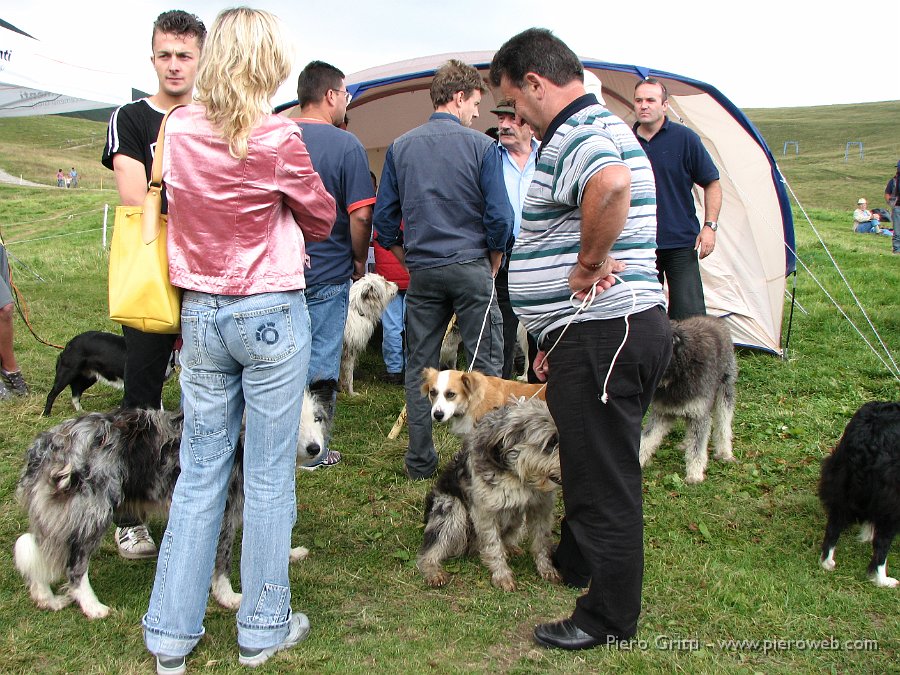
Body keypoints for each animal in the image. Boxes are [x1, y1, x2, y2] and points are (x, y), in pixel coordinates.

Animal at [13, 380, 338, 616]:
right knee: (75, 566)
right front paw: (228, 597)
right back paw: (93, 607)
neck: (245, 436)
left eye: (317, 418)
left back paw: (47, 599)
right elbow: (222, 563)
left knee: (38, 552)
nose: (315, 448)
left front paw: (289, 553)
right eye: (292, 423)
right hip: (92, 513)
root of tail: (49, 444)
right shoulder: (223, 511)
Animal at [416, 398, 560, 596]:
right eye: (551, 442)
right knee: (428, 552)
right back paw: (433, 572)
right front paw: (502, 576)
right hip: (452, 510)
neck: (515, 473)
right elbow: (493, 545)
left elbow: (541, 542)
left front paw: (546, 569)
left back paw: (511, 548)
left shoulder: (540, 507)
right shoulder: (485, 511)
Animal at [636, 314, 736, 484]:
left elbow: (697, 448)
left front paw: (694, 475)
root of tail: (714, 319)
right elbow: (647, 439)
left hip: (725, 390)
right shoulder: (662, 412)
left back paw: (724, 452)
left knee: (723, 425)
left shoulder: (700, 414)